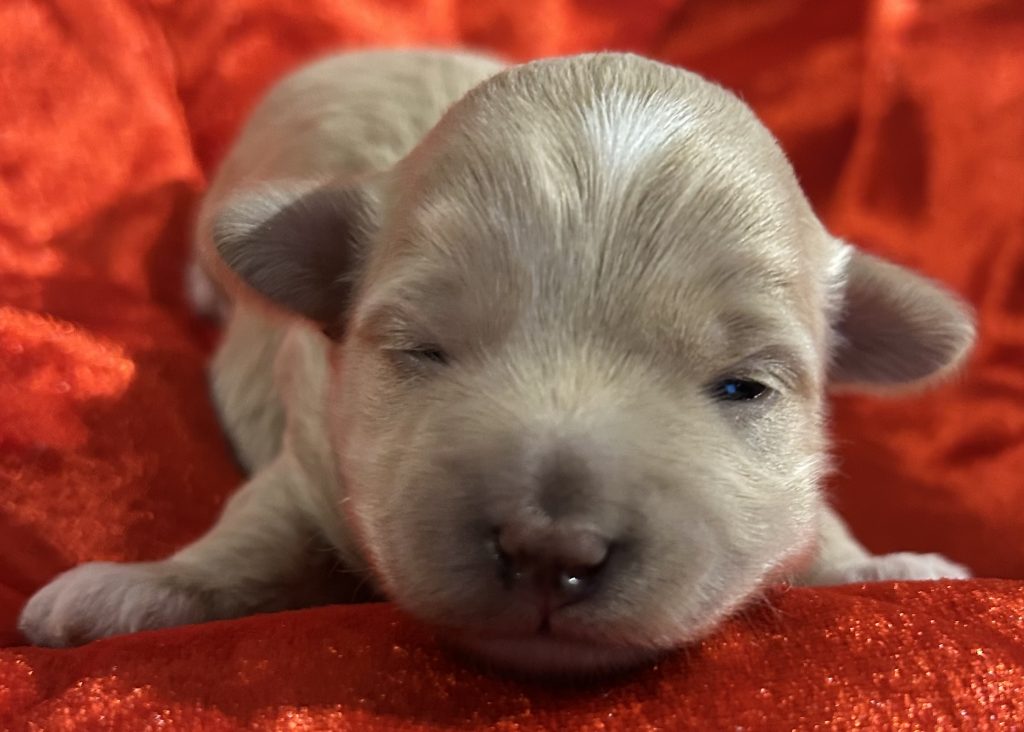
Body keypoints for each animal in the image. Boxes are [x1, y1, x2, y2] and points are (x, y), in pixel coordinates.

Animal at [19, 49, 974, 675]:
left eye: (744, 388)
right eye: (424, 352)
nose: (552, 548)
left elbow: (815, 522)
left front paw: (883, 567)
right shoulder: (316, 452)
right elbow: (252, 533)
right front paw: (131, 591)